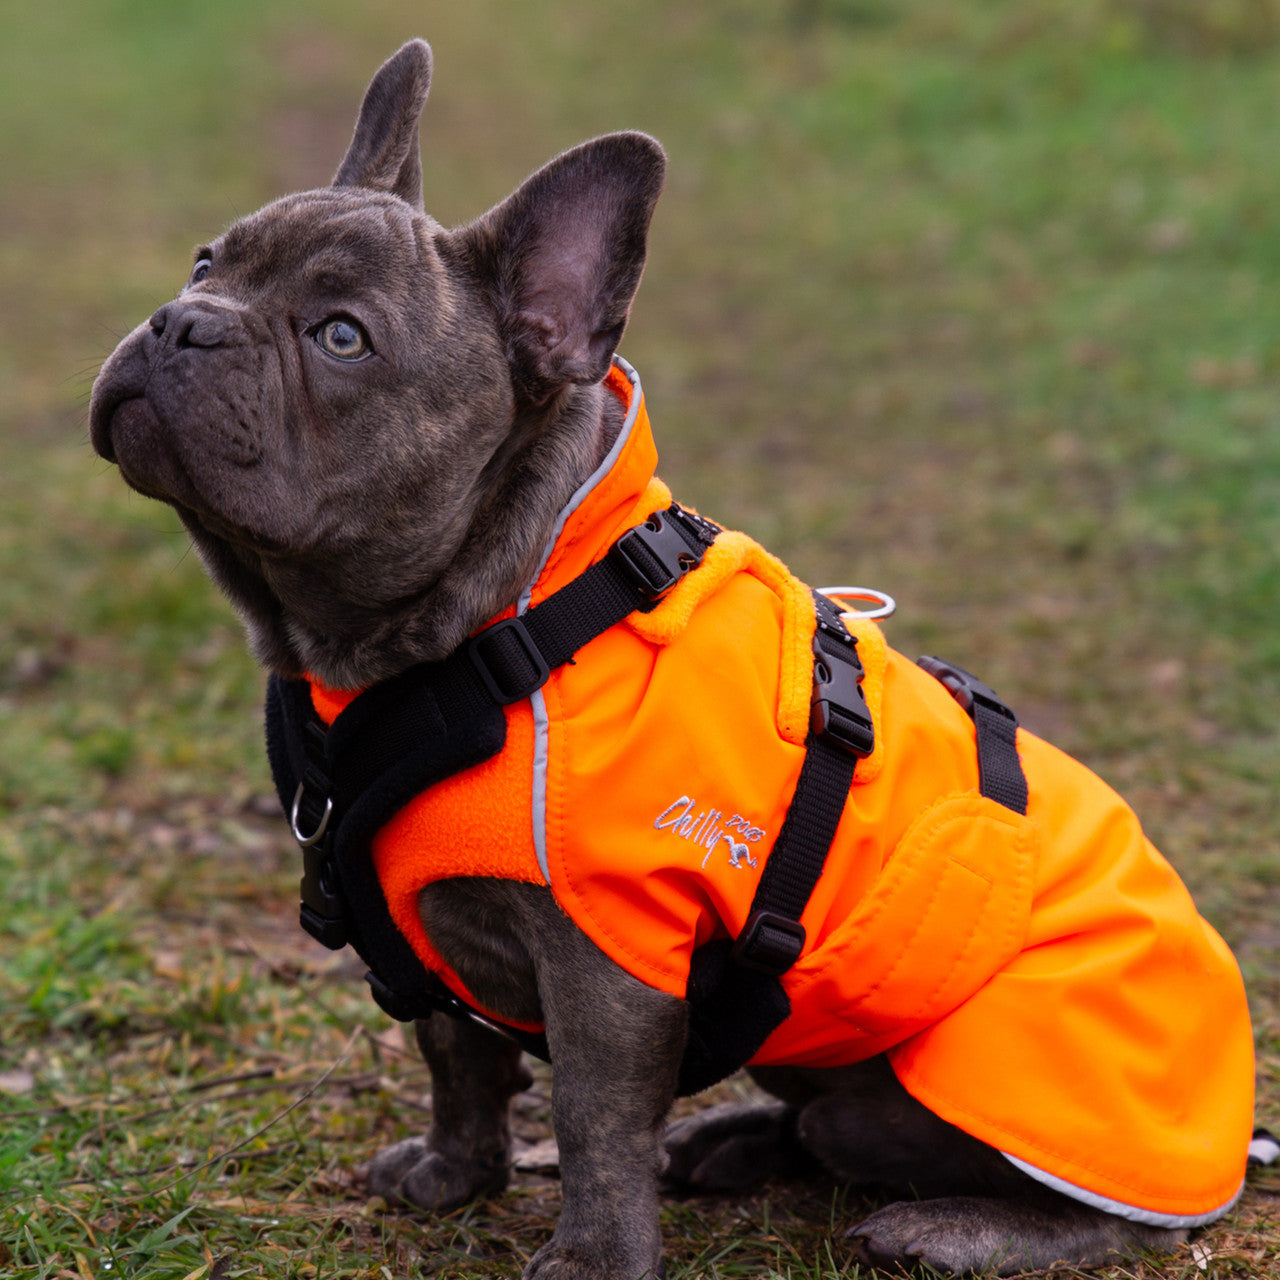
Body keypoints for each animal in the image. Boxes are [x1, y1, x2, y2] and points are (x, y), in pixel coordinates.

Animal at [90, 40, 1187, 1280]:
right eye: (205, 261)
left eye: (340, 336)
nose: (182, 321)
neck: (478, 628)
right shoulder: (433, 936)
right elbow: (453, 1057)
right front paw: (454, 1172)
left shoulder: (609, 964)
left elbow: (592, 1116)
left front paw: (591, 1253)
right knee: (826, 1121)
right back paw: (735, 1138)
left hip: (1001, 1069)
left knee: (1093, 1204)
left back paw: (950, 1225)